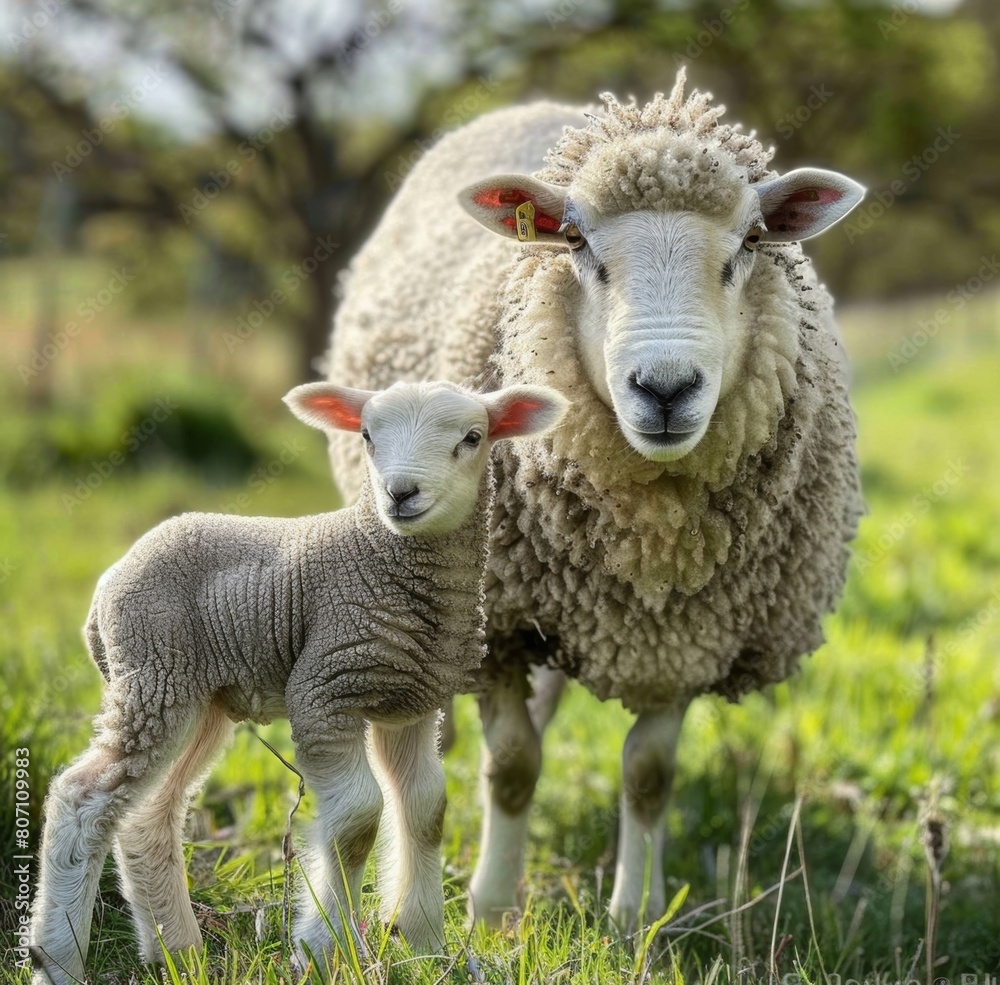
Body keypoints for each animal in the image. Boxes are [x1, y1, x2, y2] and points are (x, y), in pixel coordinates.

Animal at [29, 379, 568, 985]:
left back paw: (179, 952)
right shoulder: (326, 689)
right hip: (154, 675)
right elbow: (357, 820)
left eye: (473, 438)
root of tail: (106, 589)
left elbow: (426, 810)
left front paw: (429, 947)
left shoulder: (410, 702)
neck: (379, 557)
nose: (400, 493)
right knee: (83, 798)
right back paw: (58, 959)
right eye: (367, 435)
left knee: (149, 814)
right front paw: (322, 948)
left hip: (195, 698)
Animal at [323, 67, 866, 933]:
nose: (666, 388)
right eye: (575, 241)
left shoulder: (693, 636)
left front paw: (634, 913)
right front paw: (491, 906)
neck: (650, 545)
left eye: (751, 242)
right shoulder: (501, 625)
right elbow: (512, 765)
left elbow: (648, 775)